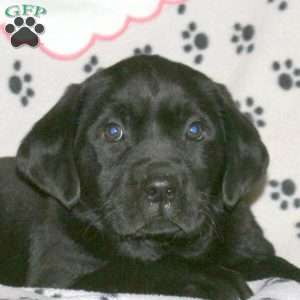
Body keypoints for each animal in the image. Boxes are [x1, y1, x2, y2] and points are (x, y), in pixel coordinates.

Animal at [0, 55, 300, 298]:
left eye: (195, 130)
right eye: (113, 131)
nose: (161, 189)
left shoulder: (250, 247)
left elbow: (278, 264)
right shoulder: (63, 275)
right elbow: (134, 267)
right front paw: (210, 277)